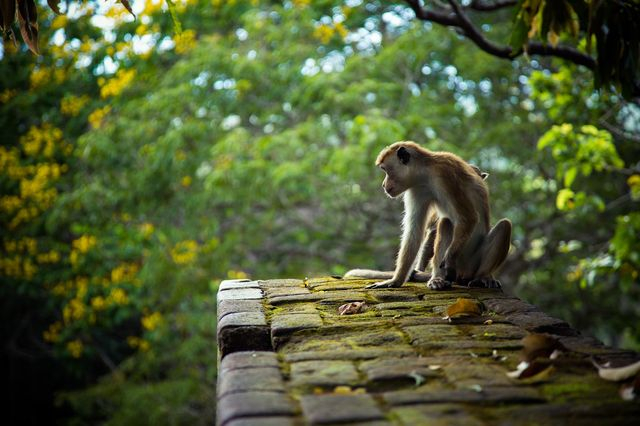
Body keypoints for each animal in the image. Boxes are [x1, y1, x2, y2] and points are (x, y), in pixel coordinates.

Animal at [344, 140, 510, 290]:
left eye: (385, 170)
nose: (384, 185)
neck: (425, 173)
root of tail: (463, 273)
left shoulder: (445, 174)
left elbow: (468, 217)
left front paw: (449, 260)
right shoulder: (417, 189)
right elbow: (414, 231)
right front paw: (396, 280)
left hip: (471, 263)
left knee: (504, 225)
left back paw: (482, 277)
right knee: (446, 223)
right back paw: (437, 278)